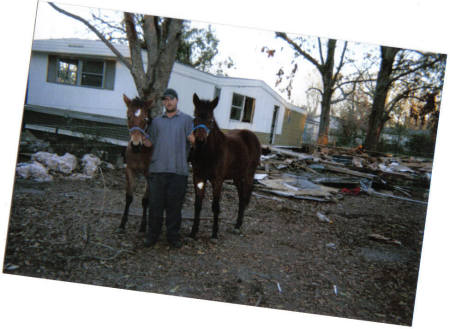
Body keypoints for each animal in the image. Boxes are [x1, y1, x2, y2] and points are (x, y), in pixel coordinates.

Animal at [118, 93, 154, 232]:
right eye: (128, 116)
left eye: (145, 118)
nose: (135, 144)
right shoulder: (130, 170)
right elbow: (129, 197)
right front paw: (122, 224)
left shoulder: (150, 175)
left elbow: (145, 200)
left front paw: (143, 226)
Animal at [189, 92, 260, 238]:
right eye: (195, 117)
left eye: (211, 120)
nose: (199, 141)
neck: (209, 153)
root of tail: (252, 136)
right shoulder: (198, 178)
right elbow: (198, 204)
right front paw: (193, 231)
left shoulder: (217, 180)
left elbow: (215, 206)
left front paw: (215, 233)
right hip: (237, 177)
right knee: (241, 198)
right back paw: (237, 225)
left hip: (248, 175)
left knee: (244, 197)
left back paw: (238, 226)